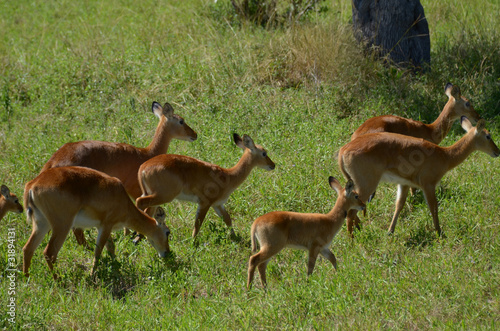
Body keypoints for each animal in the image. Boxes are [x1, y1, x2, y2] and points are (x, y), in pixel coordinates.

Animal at [22, 166, 171, 280]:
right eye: (168, 232)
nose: (167, 253)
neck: (123, 200)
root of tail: (32, 185)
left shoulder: (104, 227)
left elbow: (111, 248)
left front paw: (115, 267)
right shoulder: (106, 226)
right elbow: (98, 251)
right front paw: (92, 275)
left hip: (41, 224)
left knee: (28, 248)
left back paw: (27, 278)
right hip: (62, 226)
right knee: (49, 253)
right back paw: (59, 280)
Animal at [40, 102, 196, 248]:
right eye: (181, 121)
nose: (194, 134)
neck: (147, 154)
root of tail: (52, 162)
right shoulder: (136, 190)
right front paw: (133, 236)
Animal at [137, 134, 276, 240]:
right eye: (264, 153)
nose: (273, 165)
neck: (228, 176)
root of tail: (142, 168)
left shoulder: (217, 204)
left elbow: (227, 219)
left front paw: (235, 236)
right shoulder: (205, 203)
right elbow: (197, 224)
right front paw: (193, 243)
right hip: (164, 196)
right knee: (139, 202)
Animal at [338, 118, 498, 237]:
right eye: (488, 136)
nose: (498, 151)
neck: (445, 156)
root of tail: (343, 150)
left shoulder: (403, 184)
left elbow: (399, 205)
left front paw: (390, 232)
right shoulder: (428, 185)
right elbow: (434, 207)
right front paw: (439, 233)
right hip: (366, 185)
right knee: (350, 213)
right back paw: (354, 240)